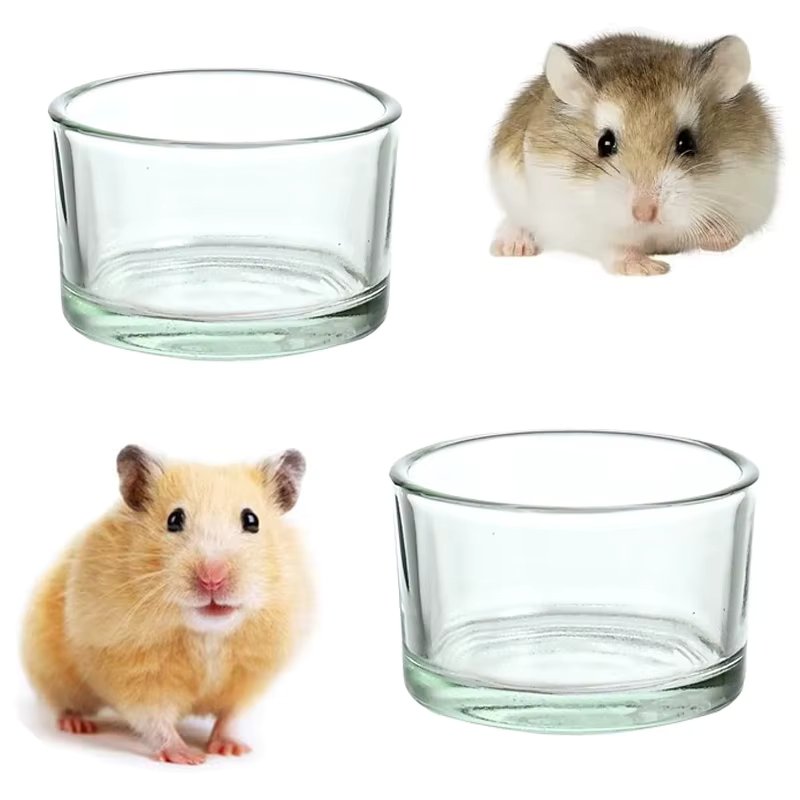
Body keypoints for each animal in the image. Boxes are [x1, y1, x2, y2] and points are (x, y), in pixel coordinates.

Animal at [22, 445, 310, 765]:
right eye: (174, 519)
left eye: (252, 521)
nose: (212, 578)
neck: (207, 633)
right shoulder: (132, 672)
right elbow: (154, 719)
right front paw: (189, 757)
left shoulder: (250, 675)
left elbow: (232, 716)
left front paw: (231, 749)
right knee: (63, 703)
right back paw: (76, 724)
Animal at [490, 34, 779, 275]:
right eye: (605, 144)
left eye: (687, 142)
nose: (644, 213)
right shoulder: (575, 222)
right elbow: (614, 247)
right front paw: (649, 269)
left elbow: (733, 231)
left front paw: (715, 235)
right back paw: (511, 247)